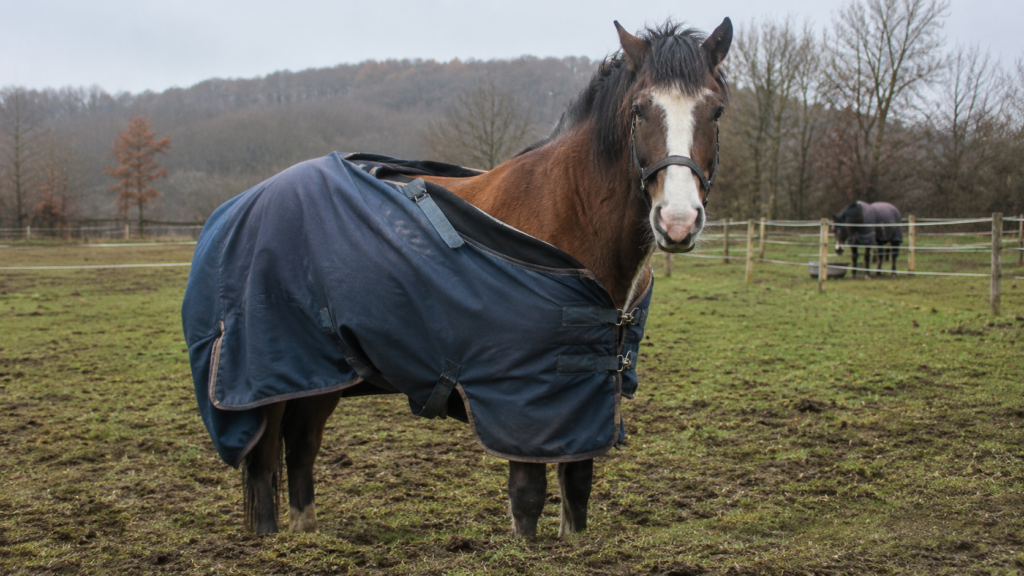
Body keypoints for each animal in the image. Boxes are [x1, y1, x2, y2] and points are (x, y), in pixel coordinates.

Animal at [187, 18, 732, 538]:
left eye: (717, 112)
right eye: (640, 109)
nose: (677, 221)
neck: (565, 211)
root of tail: (237, 206)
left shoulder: (583, 393)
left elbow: (577, 490)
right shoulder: (520, 400)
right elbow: (527, 500)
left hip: (320, 374)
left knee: (301, 447)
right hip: (260, 380)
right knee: (263, 465)